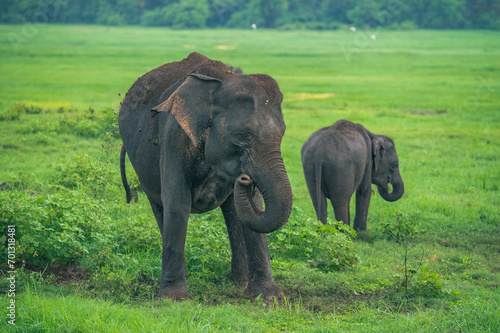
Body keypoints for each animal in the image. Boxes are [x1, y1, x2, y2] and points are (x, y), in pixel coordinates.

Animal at [119, 52, 292, 300]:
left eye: (282, 134)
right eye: (242, 136)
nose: (245, 178)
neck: (221, 81)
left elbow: (256, 208)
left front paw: (269, 297)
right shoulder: (174, 136)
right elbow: (177, 203)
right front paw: (176, 300)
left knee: (233, 211)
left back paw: (239, 283)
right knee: (160, 206)